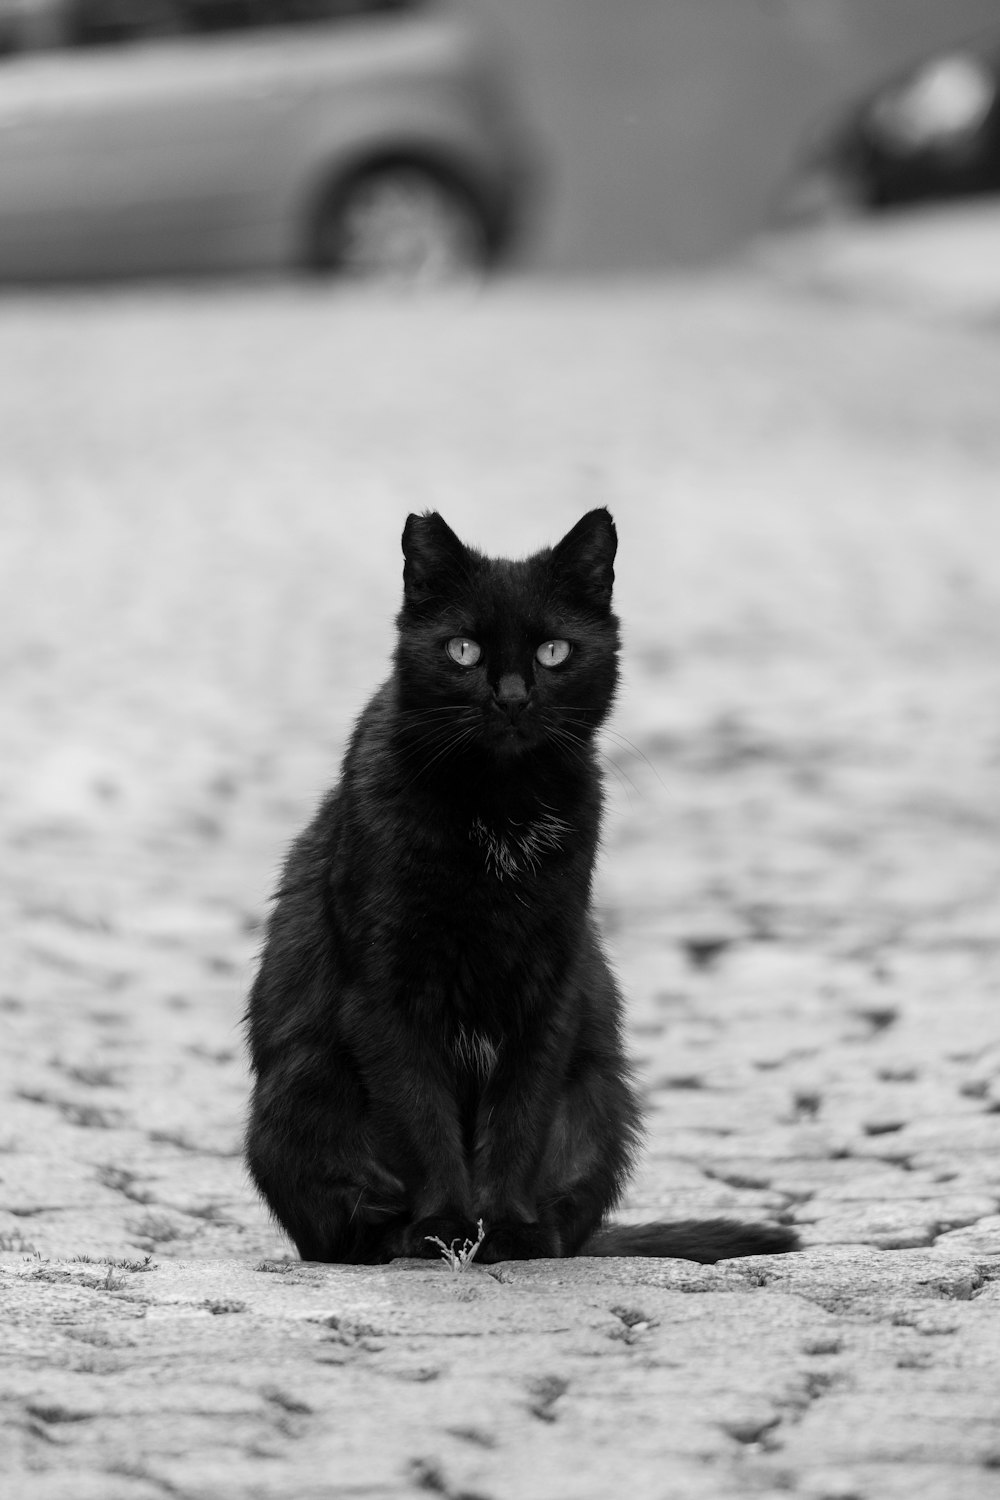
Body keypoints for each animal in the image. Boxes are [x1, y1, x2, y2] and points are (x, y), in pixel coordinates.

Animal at [242, 513, 797, 1266]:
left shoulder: (550, 982)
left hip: (600, 1096)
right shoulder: (383, 992)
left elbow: (519, 1117)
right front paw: (443, 1228)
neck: (499, 809)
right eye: (464, 649)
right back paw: (398, 1235)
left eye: (554, 651)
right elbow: (420, 1116)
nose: (510, 697)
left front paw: (509, 1228)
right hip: (301, 1087)